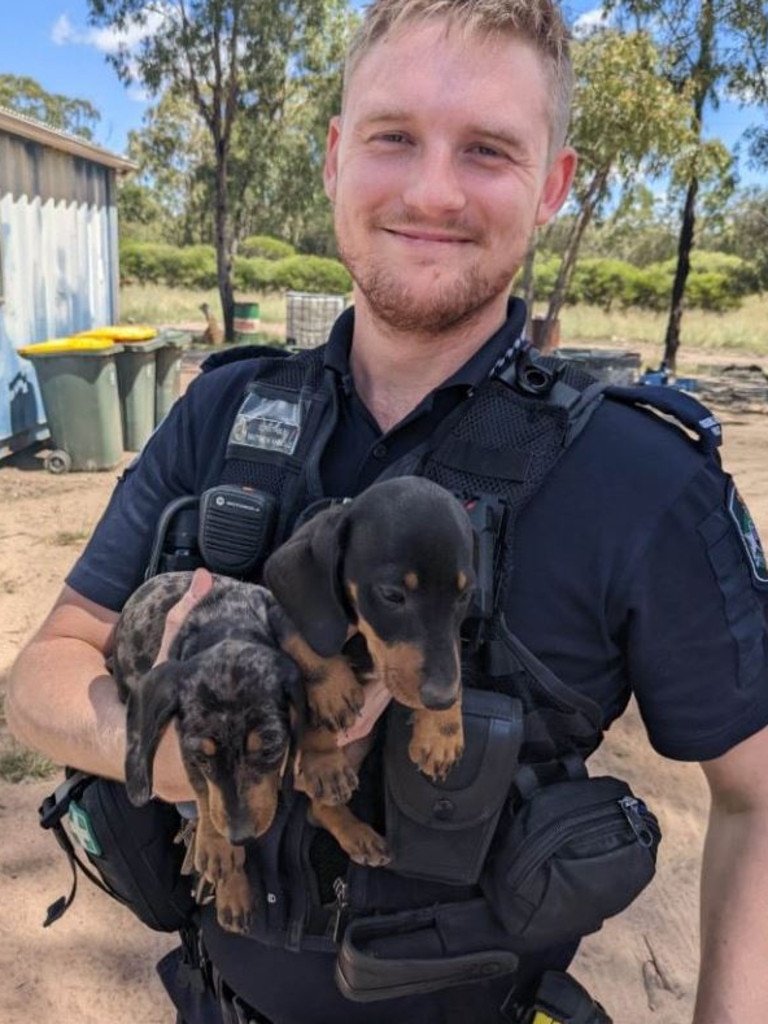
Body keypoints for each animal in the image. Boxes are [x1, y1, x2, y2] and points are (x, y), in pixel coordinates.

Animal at [111, 573, 303, 933]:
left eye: (271, 747)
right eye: (201, 758)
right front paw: (219, 852)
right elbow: (204, 793)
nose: (240, 836)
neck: (226, 619)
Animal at [268, 475, 479, 860]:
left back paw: (355, 833)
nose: (440, 700)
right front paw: (332, 702)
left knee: (318, 809)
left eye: (465, 595)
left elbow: (453, 655)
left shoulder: (451, 645)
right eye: (392, 595)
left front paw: (442, 730)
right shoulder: (282, 616)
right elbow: (308, 643)